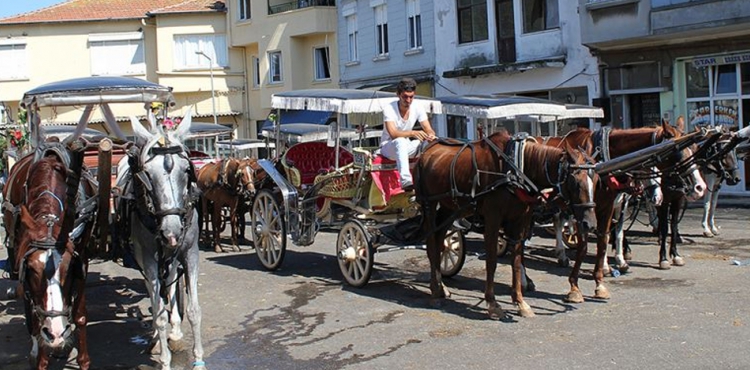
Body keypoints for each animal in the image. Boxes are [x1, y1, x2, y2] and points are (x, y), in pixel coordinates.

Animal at [1, 149, 97, 368]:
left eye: (69, 268)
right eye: (31, 269)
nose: (56, 333)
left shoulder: (82, 257)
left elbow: (80, 316)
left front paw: (83, 361)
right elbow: (35, 319)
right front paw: (41, 359)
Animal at [113, 112, 206, 370]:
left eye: (186, 170)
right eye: (147, 175)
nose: (171, 232)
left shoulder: (190, 253)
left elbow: (193, 310)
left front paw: (199, 360)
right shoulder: (149, 259)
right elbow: (158, 312)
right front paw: (164, 360)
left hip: (171, 256)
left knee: (171, 281)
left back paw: (175, 332)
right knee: (155, 299)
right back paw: (157, 337)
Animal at [414, 132, 596, 320]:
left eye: (595, 180)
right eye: (575, 183)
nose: (589, 224)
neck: (515, 168)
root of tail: (426, 151)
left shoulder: (520, 220)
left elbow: (516, 260)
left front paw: (520, 302)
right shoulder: (493, 219)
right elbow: (492, 261)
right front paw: (492, 303)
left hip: (451, 208)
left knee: (440, 241)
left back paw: (441, 287)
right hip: (429, 204)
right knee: (431, 244)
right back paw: (435, 292)